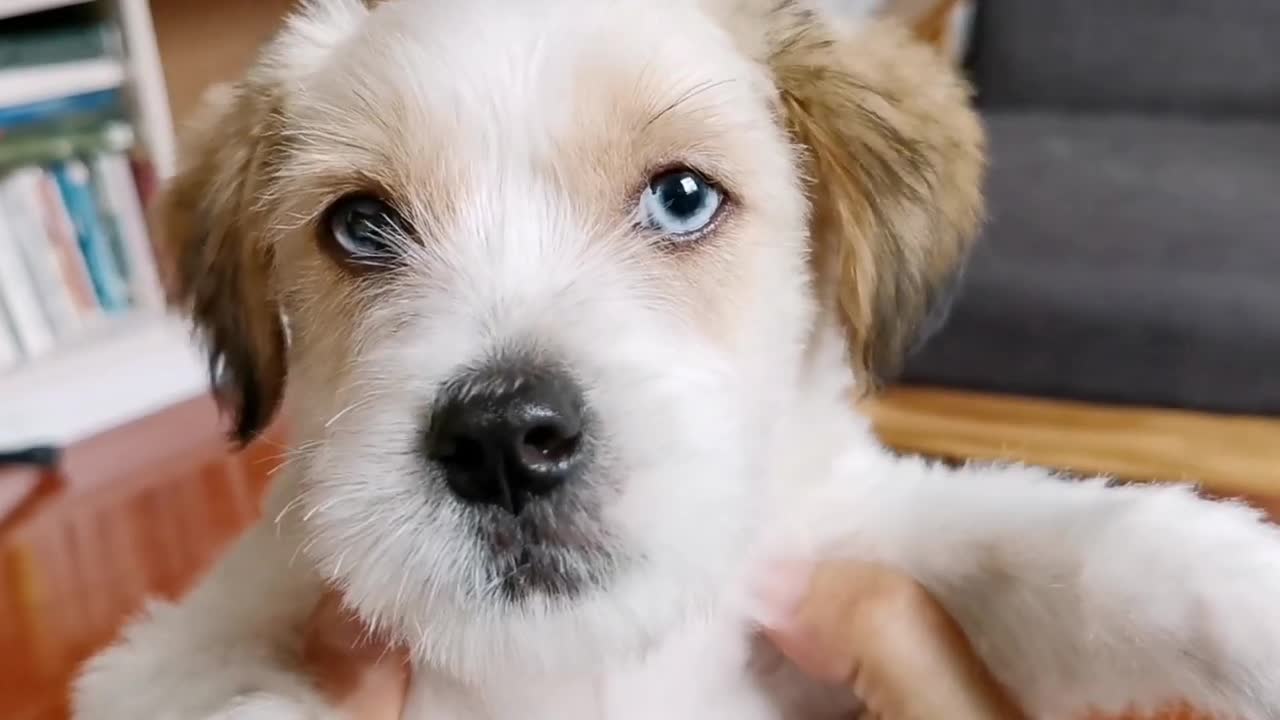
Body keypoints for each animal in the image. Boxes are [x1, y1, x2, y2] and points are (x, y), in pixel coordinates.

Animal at [74, 1, 1280, 717]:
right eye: (360, 226)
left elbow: (1027, 542)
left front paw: (1238, 601)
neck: (585, 670)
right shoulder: (179, 649)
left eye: (683, 197)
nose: (504, 438)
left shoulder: (820, 545)